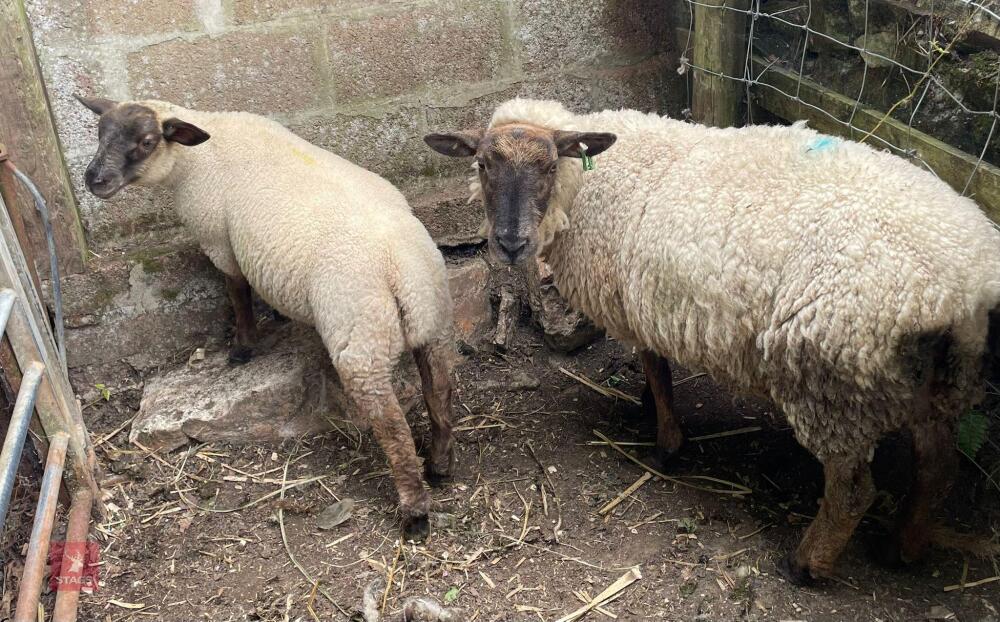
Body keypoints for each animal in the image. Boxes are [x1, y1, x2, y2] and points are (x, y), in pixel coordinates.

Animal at [77, 95, 456, 539]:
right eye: (100, 132)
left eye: (147, 141)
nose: (93, 180)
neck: (199, 153)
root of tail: (403, 272)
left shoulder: (220, 242)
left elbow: (238, 292)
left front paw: (242, 348)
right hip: (433, 323)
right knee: (439, 390)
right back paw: (440, 465)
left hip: (360, 338)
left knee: (391, 424)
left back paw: (414, 510)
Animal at [425, 98, 1000, 583]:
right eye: (482, 165)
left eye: (548, 166)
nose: (509, 242)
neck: (590, 184)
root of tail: (964, 285)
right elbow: (652, 369)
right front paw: (646, 409)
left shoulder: (636, 300)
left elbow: (656, 369)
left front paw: (666, 442)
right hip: (934, 380)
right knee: (938, 467)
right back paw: (904, 548)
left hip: (829, 380)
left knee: (854, 491)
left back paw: (808, 564)